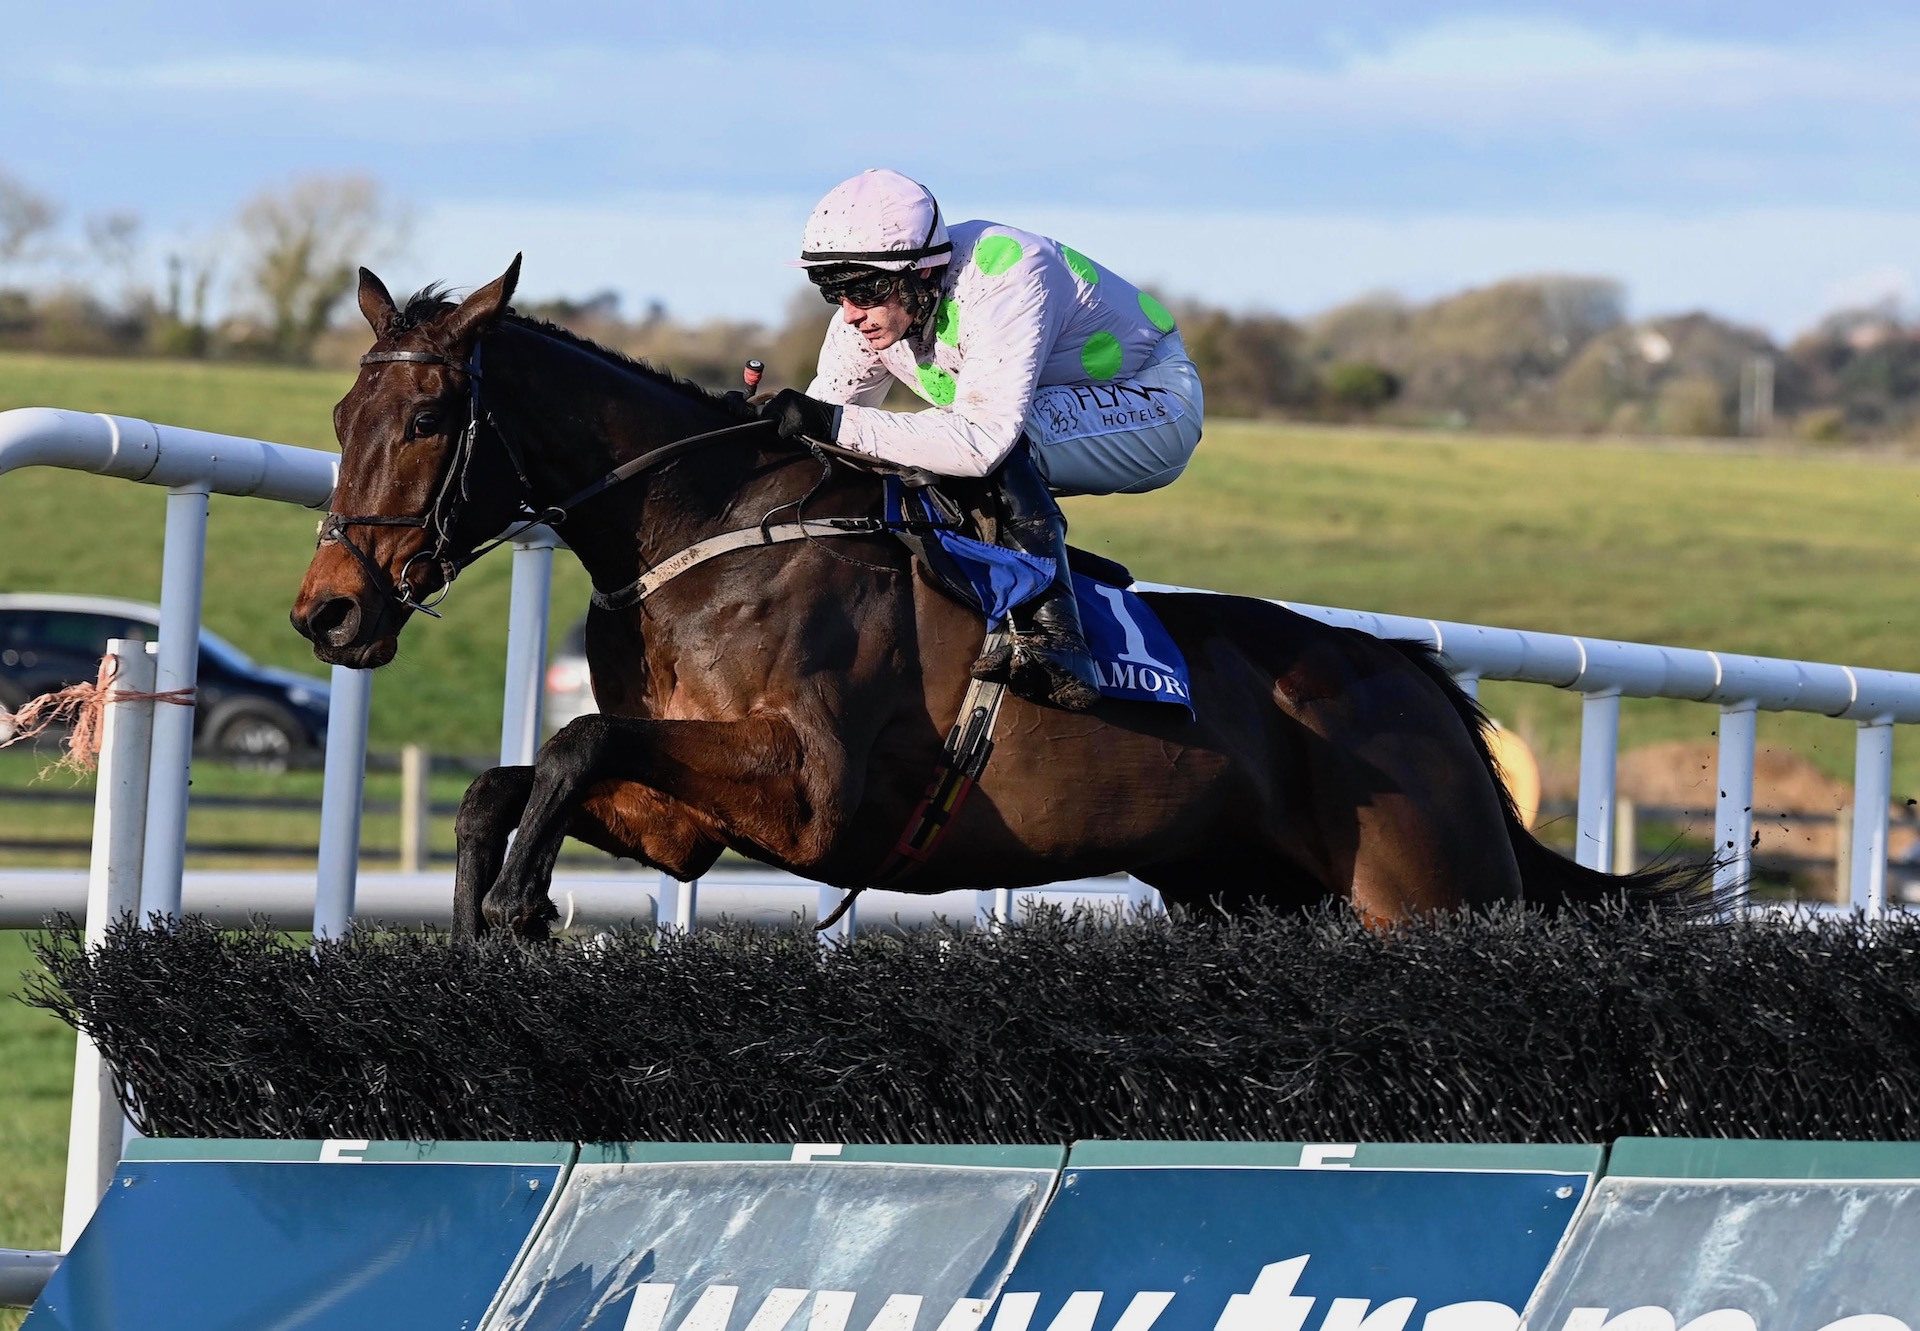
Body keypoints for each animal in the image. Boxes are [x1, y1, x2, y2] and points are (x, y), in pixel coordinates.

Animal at [288, 259, 1712, 941]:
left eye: (428, 414)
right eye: (342, 413)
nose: (327, 613)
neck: (712, 534)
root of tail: (1404, 669)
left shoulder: (811, 789)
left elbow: (576, 738)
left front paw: (519, 903)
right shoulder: (691, 816)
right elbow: (510, 780)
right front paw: (487, 908)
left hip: (1430, 893)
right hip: (1246, 892)